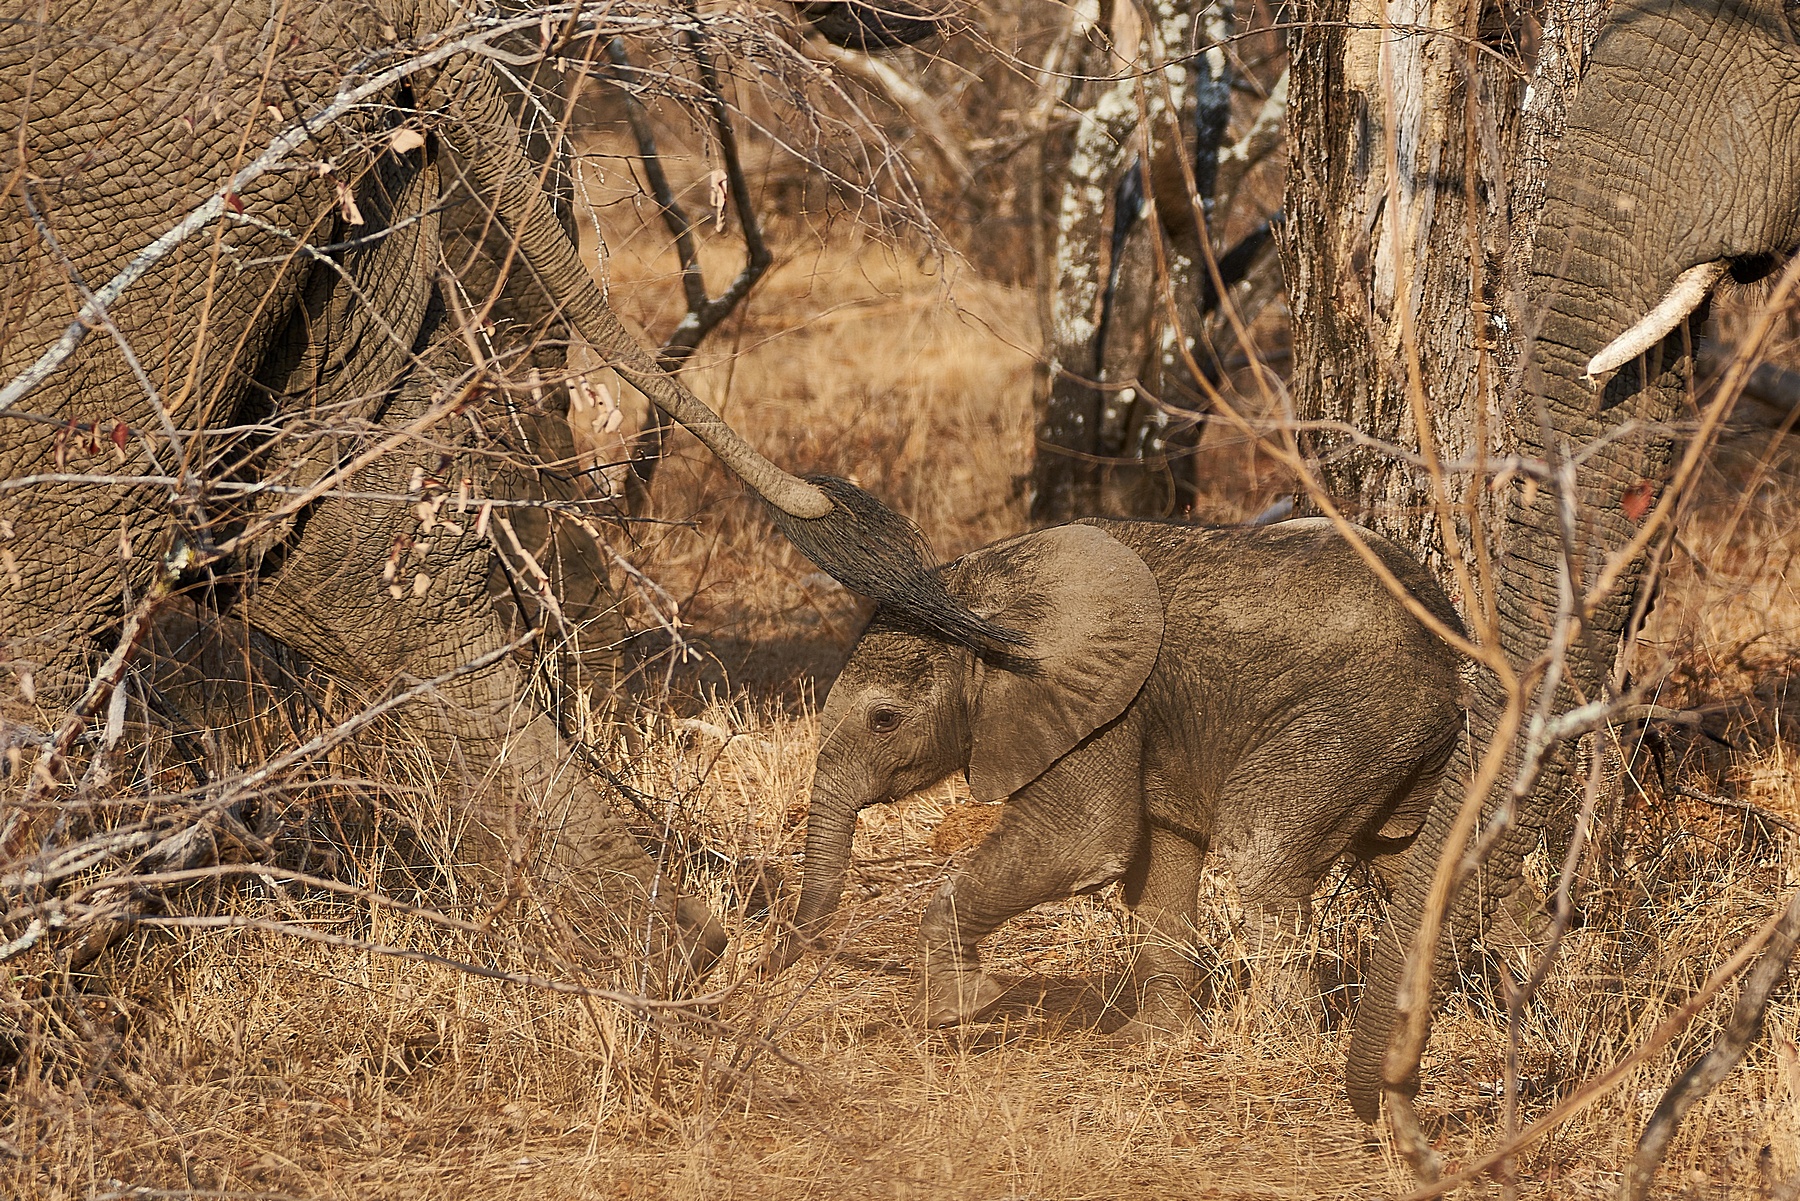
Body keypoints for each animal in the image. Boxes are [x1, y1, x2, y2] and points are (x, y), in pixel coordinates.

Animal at [774, 518, 1461, 1037]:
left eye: (884, 720)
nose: (770, 963)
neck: (978, 601)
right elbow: (1158, 873)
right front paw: (1151, 1042)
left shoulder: (1101, 705)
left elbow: (1079, 841)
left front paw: (956, 1009)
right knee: (1413, 861)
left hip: (1356, 716)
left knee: (1262, 851)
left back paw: (1283, 1041)